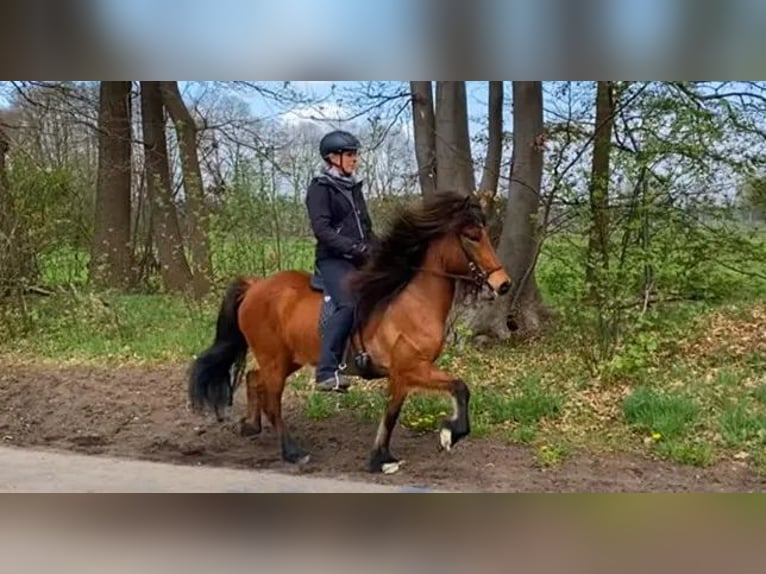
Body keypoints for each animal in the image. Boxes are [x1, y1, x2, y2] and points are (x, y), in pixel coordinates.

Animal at [187, 190, 512, 474]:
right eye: (472, 236)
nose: (504, 284)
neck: (413, 302)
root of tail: (255, 286)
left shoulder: (405, 375)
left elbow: (402, 410)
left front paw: (390, 455)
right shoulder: (410, 369)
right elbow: (449, 391)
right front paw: (439, 438)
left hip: (287, 358)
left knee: (255, 379)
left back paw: (251, 426)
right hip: (274, 359)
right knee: (272, 400)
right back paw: (293, 452)